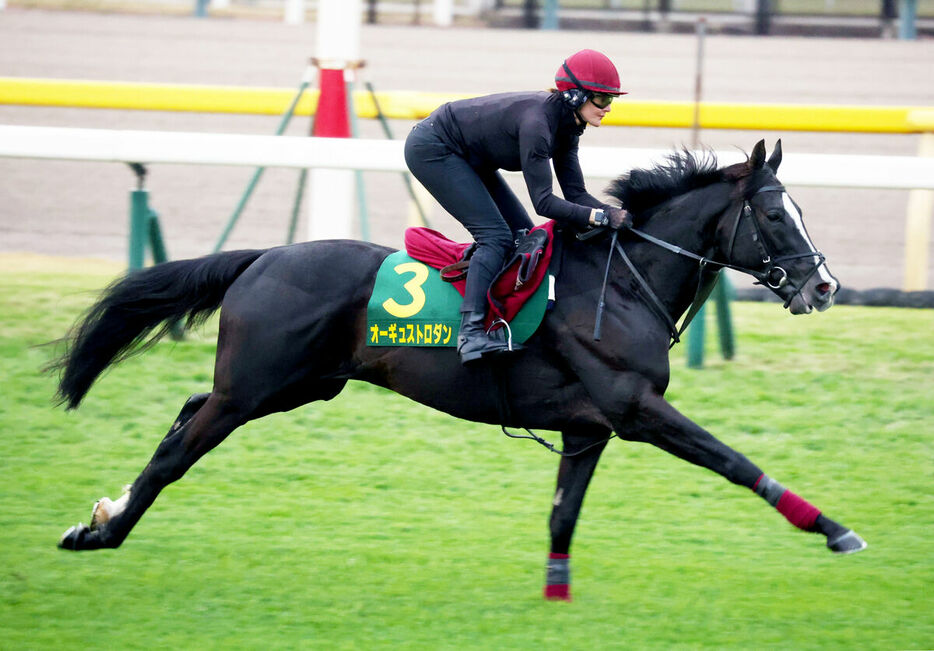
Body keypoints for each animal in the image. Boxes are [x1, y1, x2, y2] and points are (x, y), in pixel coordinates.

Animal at [53, 141, 872, 600]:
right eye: (775, 215)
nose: (826, 285)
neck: (621, 282)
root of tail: (265, 256)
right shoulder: (635, 408)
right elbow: (733, 460)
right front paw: (834, 529)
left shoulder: (589, 428)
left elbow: (563, 513)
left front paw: (555, 595)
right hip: (257, 386)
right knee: (178, 451)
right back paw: (102, 534)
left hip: (295, 383)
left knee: (190, 407)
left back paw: (103, 512)